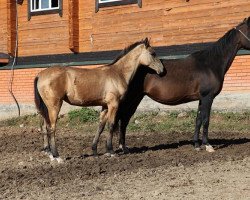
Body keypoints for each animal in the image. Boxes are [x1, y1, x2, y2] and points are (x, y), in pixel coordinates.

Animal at [34, 38, 165, 162]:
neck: (118, 73)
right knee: (51, 128)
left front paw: (95, 151)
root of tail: (40, 75)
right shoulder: (113, 104)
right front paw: (111, 151)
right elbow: (111, 125)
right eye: (153, 53)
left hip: (47, 108)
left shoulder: (105, 106)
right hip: (54, 106)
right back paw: (57, 156)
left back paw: (50, 154)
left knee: (45, 127)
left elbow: (101, 127)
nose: (163, 71)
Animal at [111, 17, 250, 155]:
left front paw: (196, 145)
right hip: (131, 99)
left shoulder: (201, 98)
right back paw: (122, 148)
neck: (210, 64)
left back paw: (123, 147)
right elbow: (206, 120)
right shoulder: (208, 97)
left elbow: (198, 119)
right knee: (123, 119)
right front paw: (207, 145)